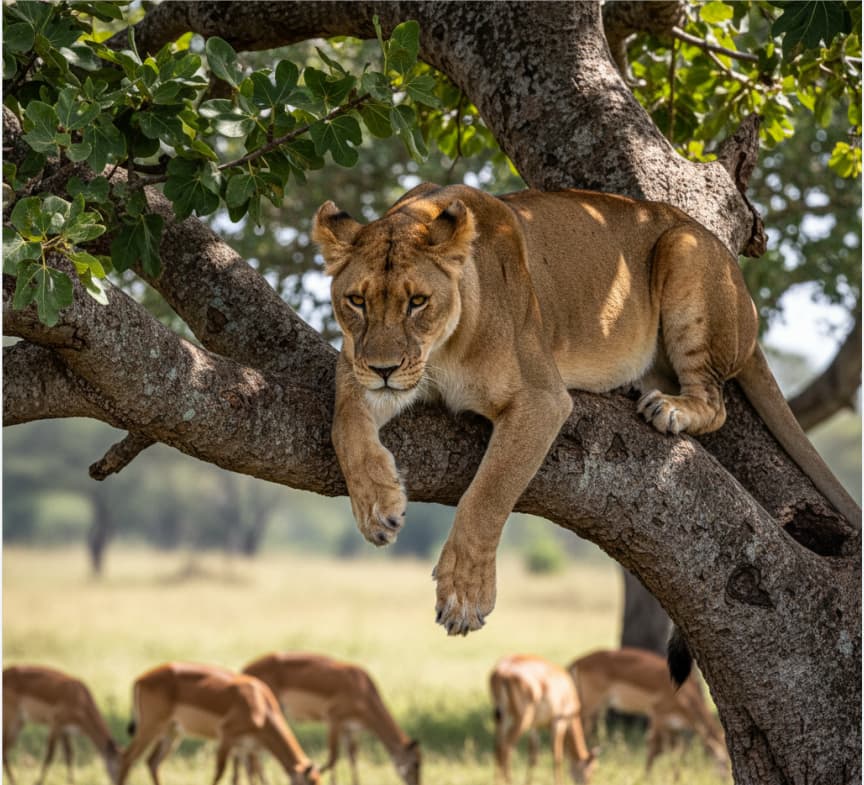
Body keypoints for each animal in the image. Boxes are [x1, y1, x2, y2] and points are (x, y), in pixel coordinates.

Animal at [312, 182, 860, 639]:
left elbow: (487, 494)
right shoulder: (357, 367)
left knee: (716, 402)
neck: (441, 351)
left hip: (683, 252)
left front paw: (465, 594)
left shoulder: (543, 398)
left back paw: (669, 409)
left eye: (418, 302)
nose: (384, 368)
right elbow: (346, 425)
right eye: (356, 300)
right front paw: (378, 506)